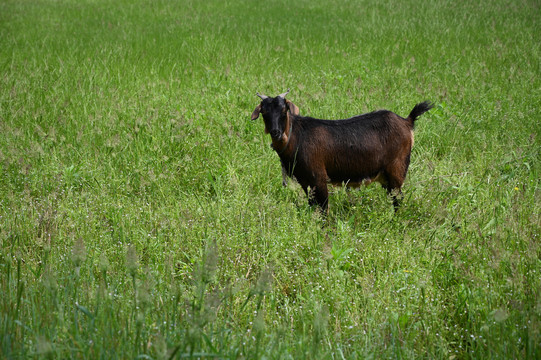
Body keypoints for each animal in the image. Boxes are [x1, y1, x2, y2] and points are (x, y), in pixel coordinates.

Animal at [251, 89, 432, 212]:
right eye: (264, 112)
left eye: (284, 111)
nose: (276, 132)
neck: (298, 136)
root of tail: (407, 121)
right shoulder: (305, 181)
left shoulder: (319, 178)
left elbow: (323, 208)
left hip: (396, 169)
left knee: (398, 199)